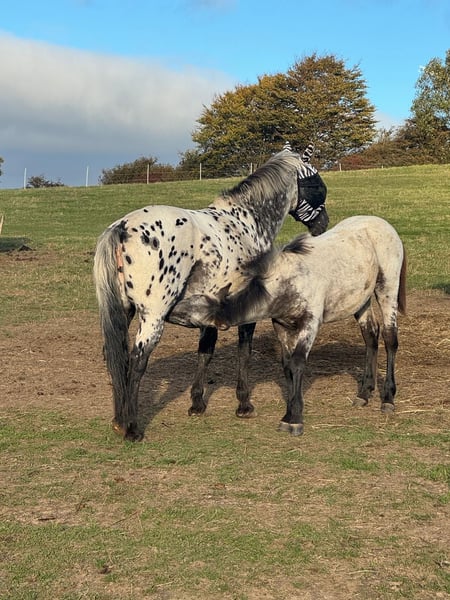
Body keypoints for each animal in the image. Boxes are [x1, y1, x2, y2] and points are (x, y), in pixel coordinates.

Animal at [93, 147, 328, 441]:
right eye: (316, 184)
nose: (323, 224)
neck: (245, 222)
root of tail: (123, 227)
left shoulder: (209, 311)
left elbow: (205, 352)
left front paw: (197, 403)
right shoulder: (247, 313)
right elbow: (243, 353)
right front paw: (244, 404)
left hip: (124, 313)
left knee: (116, 358)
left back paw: (119, 420)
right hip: (152, 317)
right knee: (137, 361)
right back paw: (132, 428)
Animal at [187, 216, 406, 436]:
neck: (287, 281)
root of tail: (384, 224)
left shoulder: (310, 324)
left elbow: (298, 362)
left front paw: (295, 420)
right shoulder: (282, 326)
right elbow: (287, 365)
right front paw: (289, 413)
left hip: (387, 289)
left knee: (390, 339)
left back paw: (388, 399)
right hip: (361, 300)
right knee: (370, 335)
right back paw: (364, 393)